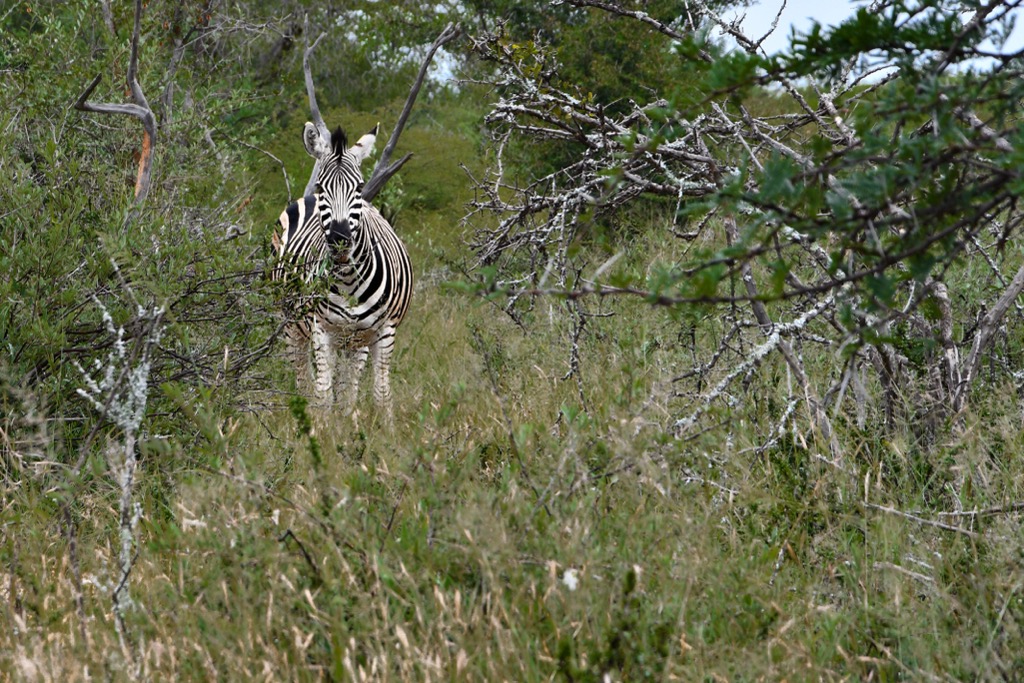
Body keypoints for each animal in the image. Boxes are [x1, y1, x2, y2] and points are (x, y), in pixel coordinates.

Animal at [276, 122, 415, 421]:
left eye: (360, 187)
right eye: (321, 185)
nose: (340, 240)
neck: (349, 280)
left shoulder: (385, 332)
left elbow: (380, 396)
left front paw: (380, 431)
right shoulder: (321, 330)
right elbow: (323, 395)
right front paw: (320, 431)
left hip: (355, 341)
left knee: (349, 387)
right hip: (291, 326)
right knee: (303, 381)